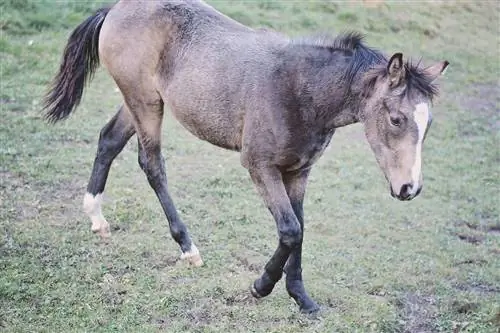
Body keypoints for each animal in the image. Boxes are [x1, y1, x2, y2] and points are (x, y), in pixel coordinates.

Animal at [43, 0, 450, 312]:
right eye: (396, 119)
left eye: (428, 123)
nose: (409, 188)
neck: (299, 91)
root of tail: (117, 8)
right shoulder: (259, 166)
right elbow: (290, 230)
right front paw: (261, 286)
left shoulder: (298, 172)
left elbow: (300, 229)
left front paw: (302, 299)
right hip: (145, 103)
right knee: (152, 163)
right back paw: (188, 248)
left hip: (138, 102)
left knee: (109, 140)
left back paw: (96, 217)